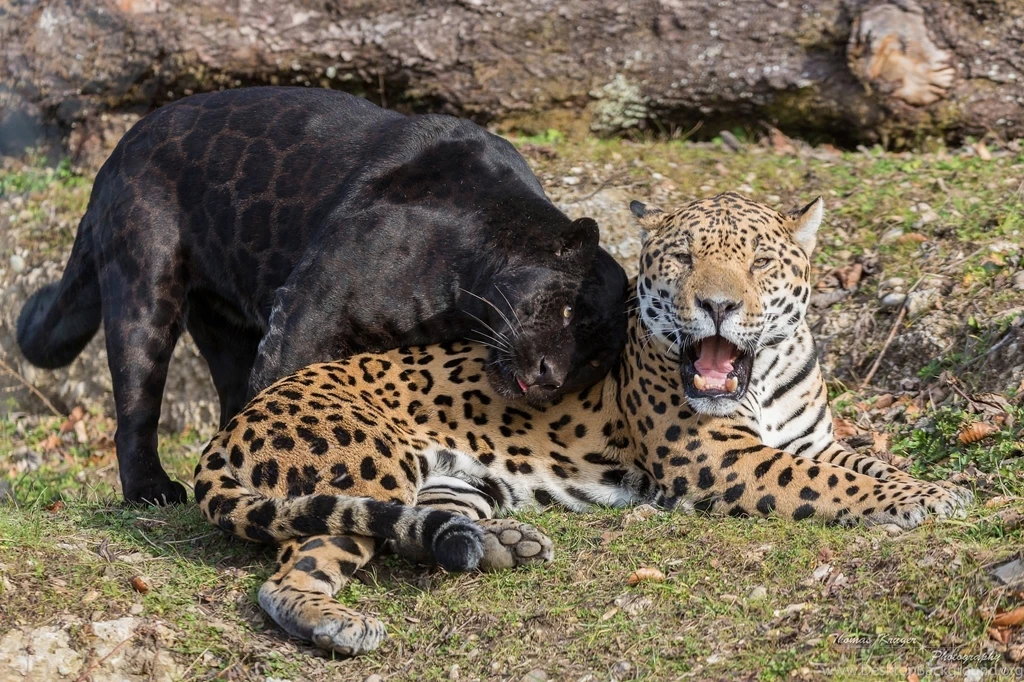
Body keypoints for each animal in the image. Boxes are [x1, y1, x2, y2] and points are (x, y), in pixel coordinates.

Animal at [194, 192, 973, 656]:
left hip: (447, 483)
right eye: (684, 258)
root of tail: (232, 425)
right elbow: (832, 484)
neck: (762, 375)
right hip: (366, 465)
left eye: (758, 262)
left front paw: (931, 483)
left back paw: (502, 544)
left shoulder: (814, 439)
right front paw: (926, 499)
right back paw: (338, 623)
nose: (718, 305)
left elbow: (862, 464)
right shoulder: (719, 460)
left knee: (418, 527)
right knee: (294, 567)